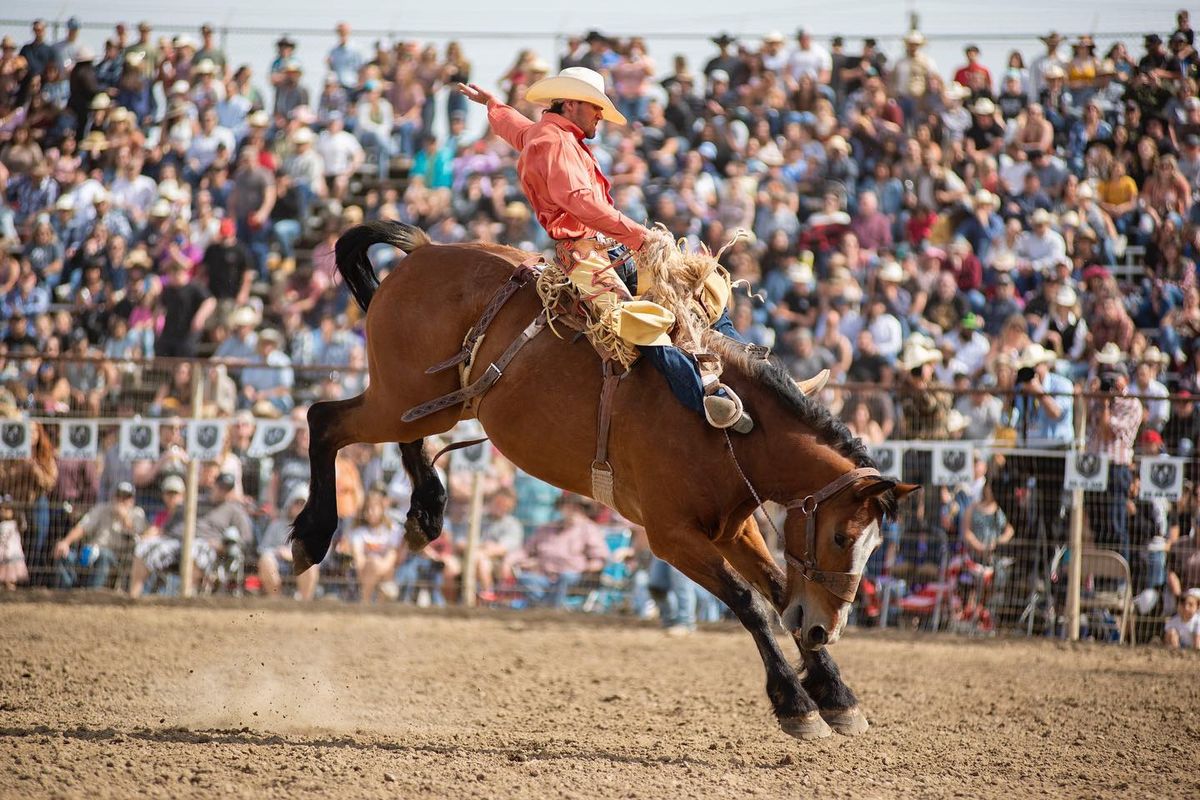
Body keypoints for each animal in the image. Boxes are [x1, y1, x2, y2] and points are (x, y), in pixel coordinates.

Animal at [292, 221, 916, 743]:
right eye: (841, 537)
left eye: (874, 546)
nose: (824, 631)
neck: (729, 427)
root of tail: (424, 251)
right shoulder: (671, 536)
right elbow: (751, 603)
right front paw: (796, 704)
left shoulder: (733, 529)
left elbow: (781, 590)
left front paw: (836, 694)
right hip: (398, 401)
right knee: (323, 420)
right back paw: (311, 537)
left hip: (429, 403)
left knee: (400, 437)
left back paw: (426, 512)